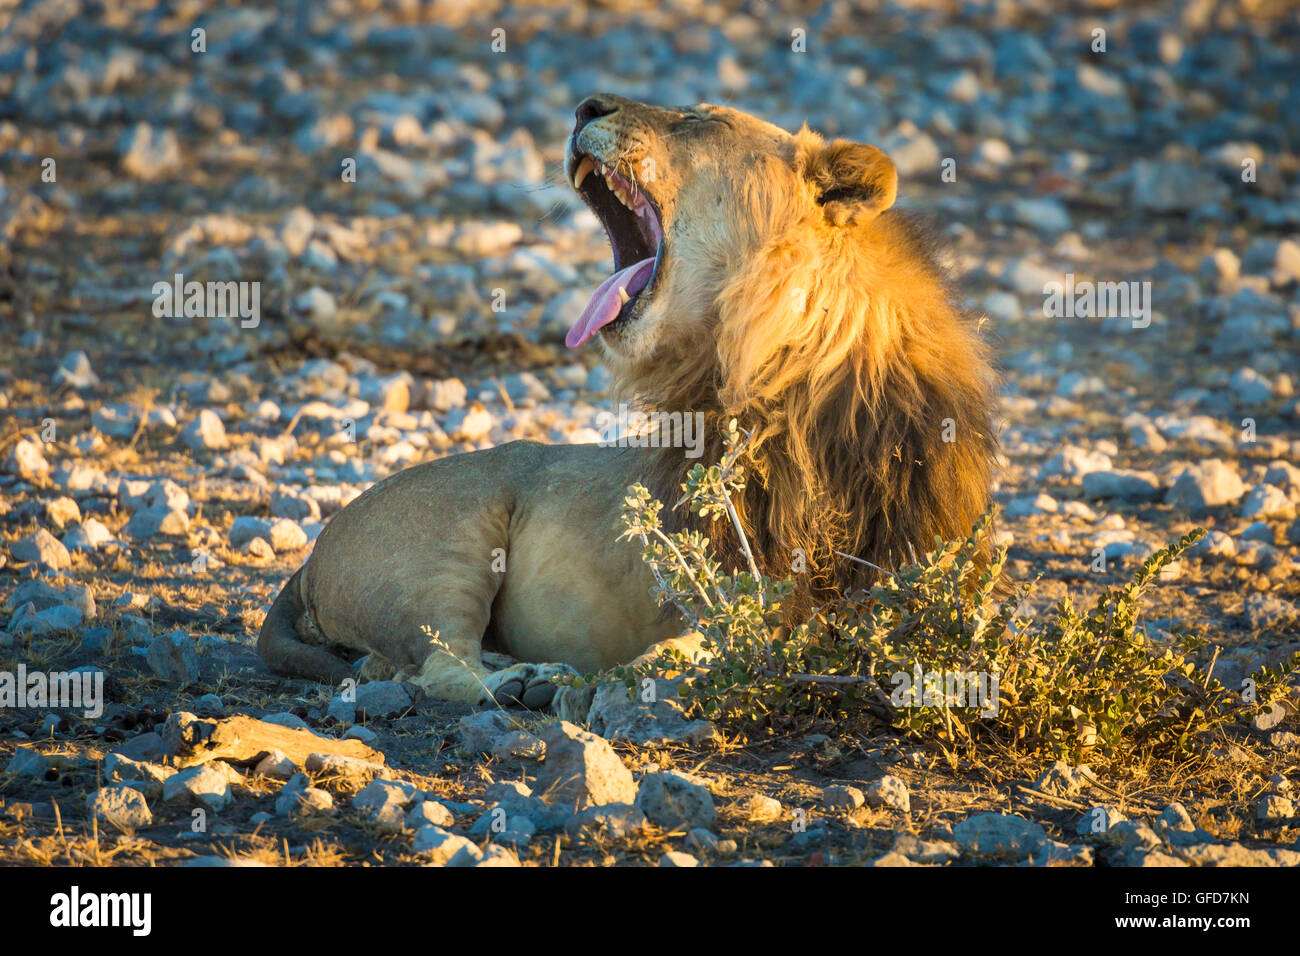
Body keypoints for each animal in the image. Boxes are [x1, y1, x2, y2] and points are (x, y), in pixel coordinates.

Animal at [258, 95, 998, 712]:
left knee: (397, 667)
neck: (800, 378)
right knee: (437, 669)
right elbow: (714, 639)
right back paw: (524, 681)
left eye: (702, 120)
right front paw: (640, 673)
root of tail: (312, 555)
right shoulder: (730, 576)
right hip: (445, 548)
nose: (585, 105)